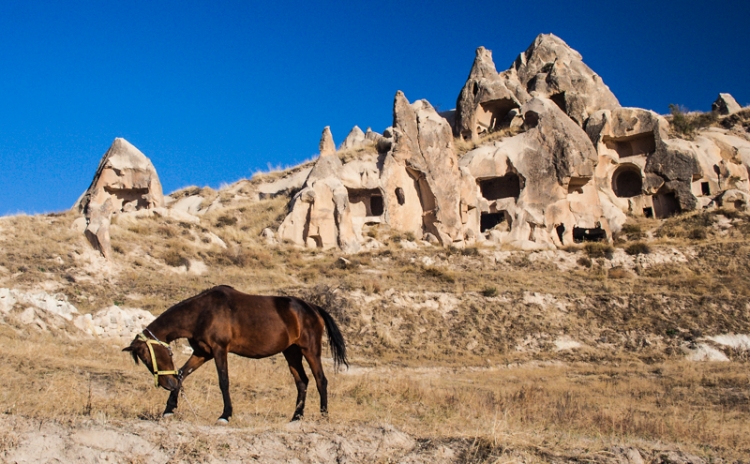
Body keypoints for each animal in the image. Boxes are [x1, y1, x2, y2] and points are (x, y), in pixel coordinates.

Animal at [122, 284, 348, 422]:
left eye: (146, 356)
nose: (166, 385)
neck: (202, 312)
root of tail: (313, 308)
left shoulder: (219, 350)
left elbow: (224, 381)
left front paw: (225, 415)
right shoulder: (203, 352)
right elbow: (181, 374)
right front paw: (169, 409)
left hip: (310, 350)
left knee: (320, 380)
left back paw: (323, 416)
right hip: (291, 352)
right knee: (302, 382)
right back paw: (296, 417)